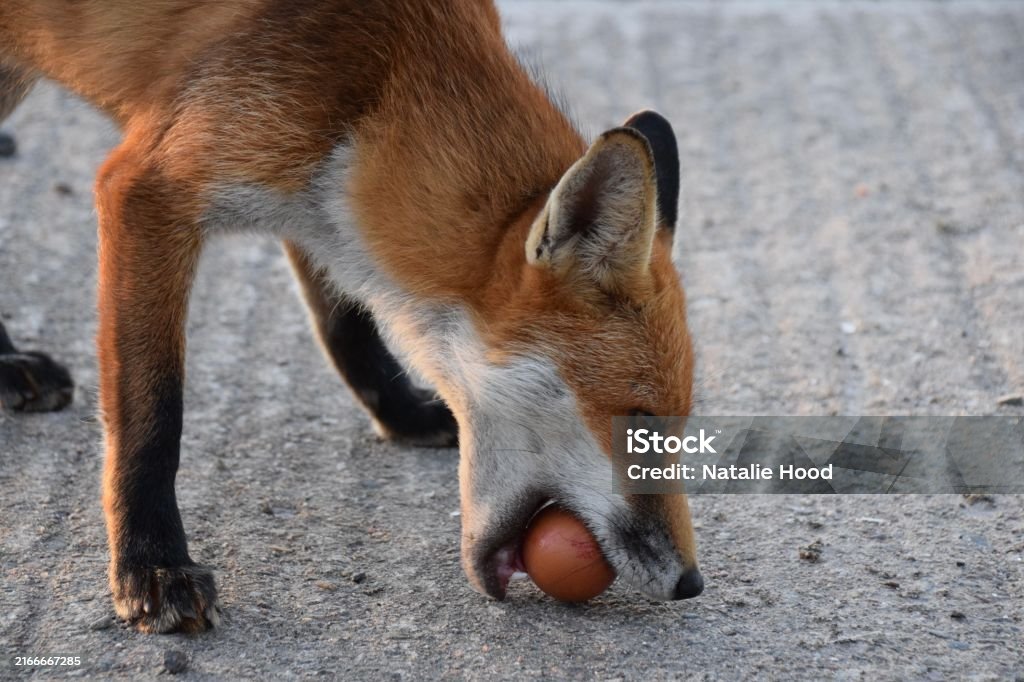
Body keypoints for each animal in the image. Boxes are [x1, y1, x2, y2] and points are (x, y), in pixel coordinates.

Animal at [0, 0, 702, 633]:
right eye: (640, 425)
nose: (691, 583)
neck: (387, 75)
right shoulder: (151, 187)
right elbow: (152, 414)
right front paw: (152, 567)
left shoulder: (315, 200)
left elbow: (346, 321)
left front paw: (402, 413)